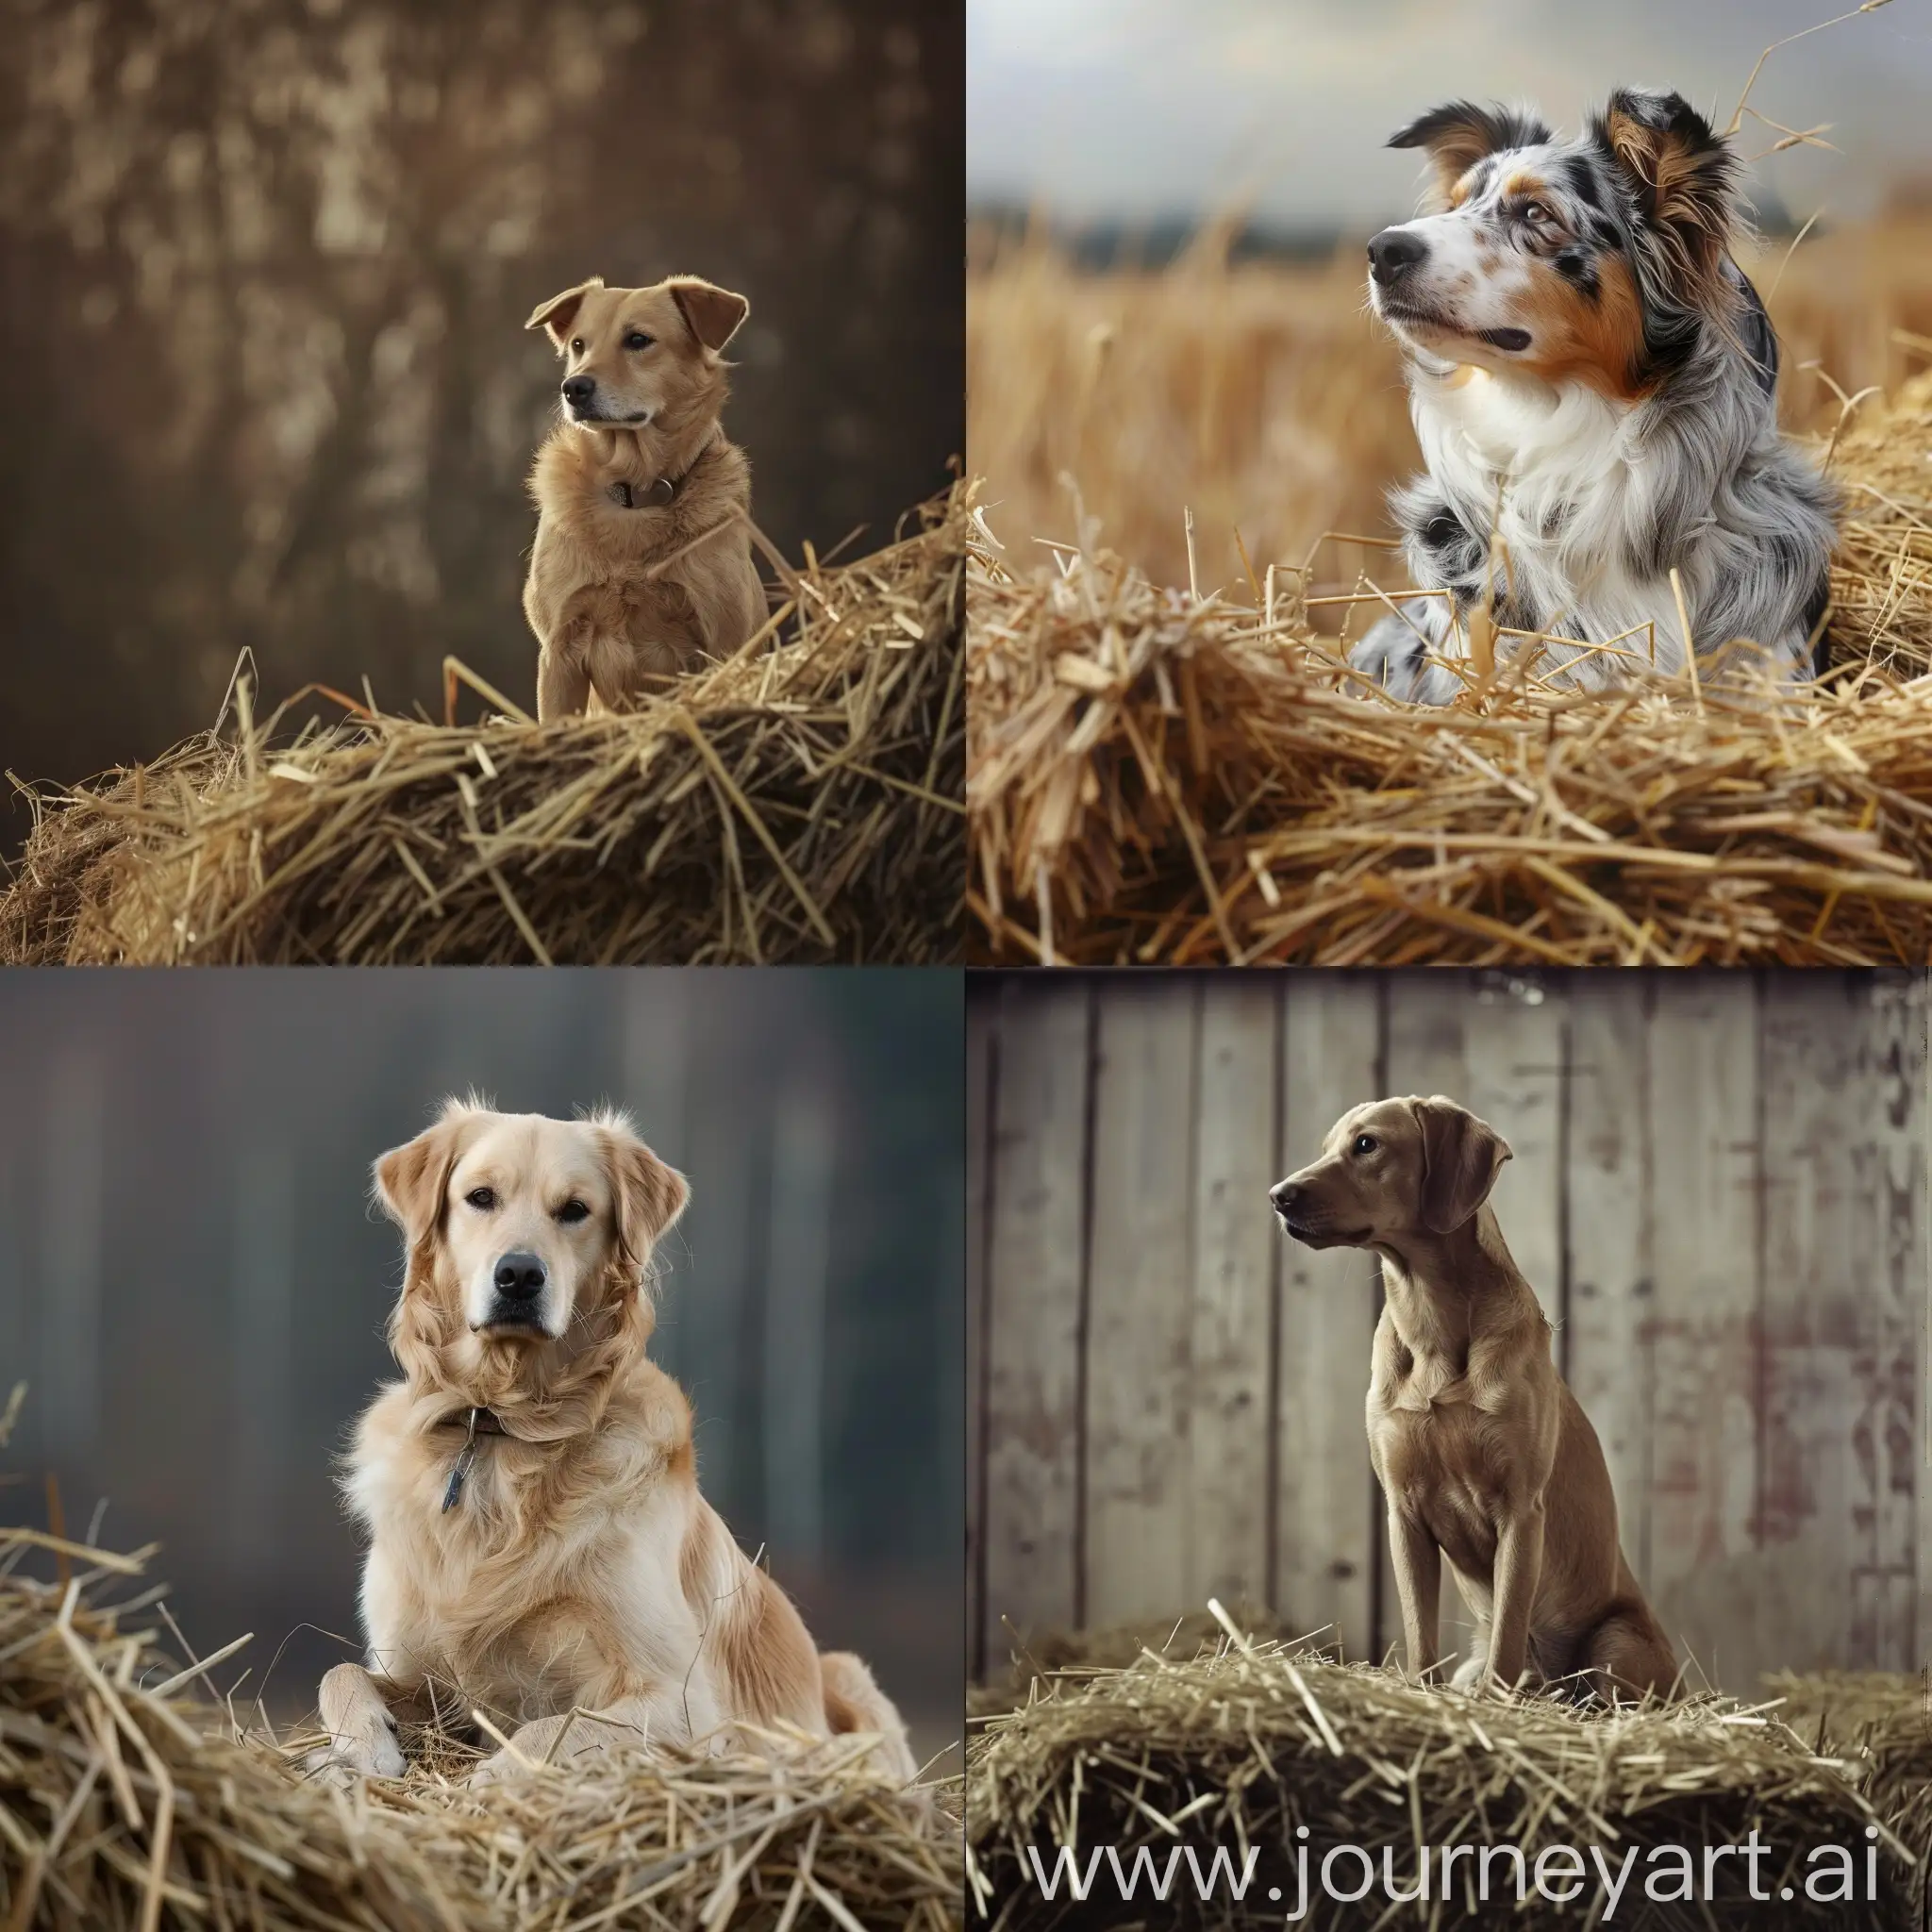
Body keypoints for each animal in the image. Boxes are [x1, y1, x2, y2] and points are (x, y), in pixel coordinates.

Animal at [316, 1097, 919, 1785]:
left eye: (575, 1209)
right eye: (480, 1197)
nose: (519, 1274)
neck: (501, 1430)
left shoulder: (683, 1703)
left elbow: (554, 1725)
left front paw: (488, 1780)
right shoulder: (424, 1674)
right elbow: (340, 1671)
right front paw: (361, 1746)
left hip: (848, 1680)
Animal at [525, 275, 773, 722]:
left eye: (638, 340)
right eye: (578, 345)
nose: (573, 388)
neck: (634, 492)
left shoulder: (721, 643)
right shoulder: (559, 651)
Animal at [1267, 1105, 1676, 1707]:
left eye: (1367, 1145)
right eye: (1326, 1147)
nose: (1279, 1195)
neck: (1430, 1322)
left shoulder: (1520, 1511)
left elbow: (1508, 1629)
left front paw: (1497, 1701)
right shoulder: (1403, 1512)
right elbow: (1420, 1633)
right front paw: (1423, 1691)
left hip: (1614, 1641)